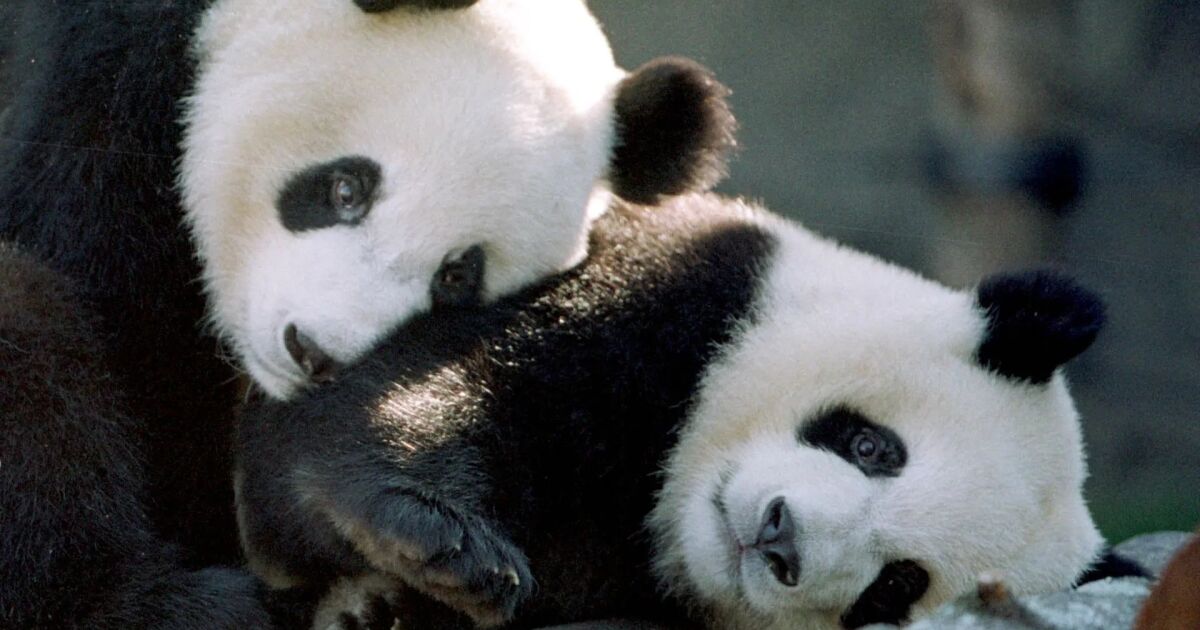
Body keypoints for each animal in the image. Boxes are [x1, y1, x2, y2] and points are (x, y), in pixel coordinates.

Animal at [235, 193, 1110, 629]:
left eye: (896, 587)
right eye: (872, 447)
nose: (779, 538)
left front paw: (393, 597)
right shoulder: (674, 282)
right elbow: (440, 383)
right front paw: (445, 542)